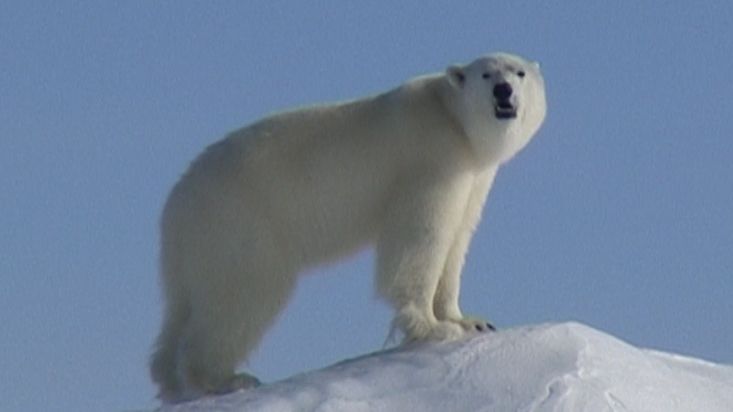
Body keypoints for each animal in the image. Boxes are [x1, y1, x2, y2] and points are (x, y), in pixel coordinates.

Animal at [152, 52, 548, 402]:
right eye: (486, 73)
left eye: (519, 73)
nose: (503, 91)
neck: (453, 120)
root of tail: (177, 198)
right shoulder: (431, 157)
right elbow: (422, 237)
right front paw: (433, 327)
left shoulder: (474, 176)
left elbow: (457, 239)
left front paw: (470, 321)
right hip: (242, 221)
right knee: (244, 293)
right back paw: (224, 378)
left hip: (196, 243)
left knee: (183, 306)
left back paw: (169, 379)